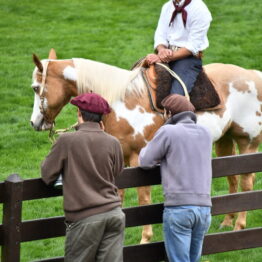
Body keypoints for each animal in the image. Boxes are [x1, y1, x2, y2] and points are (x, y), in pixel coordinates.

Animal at [30, 48, 262, 244]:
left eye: (35, 87)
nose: (34, 123)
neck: (120, 101)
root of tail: (253, 75)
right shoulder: (120, 159)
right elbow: (119, 195)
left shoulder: (138, 158)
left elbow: (143, 198)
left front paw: (145, 239)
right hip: (225, 141)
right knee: (233, 179)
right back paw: (227, 222)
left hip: (248, 142)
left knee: (247, 182)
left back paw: (239, 226)